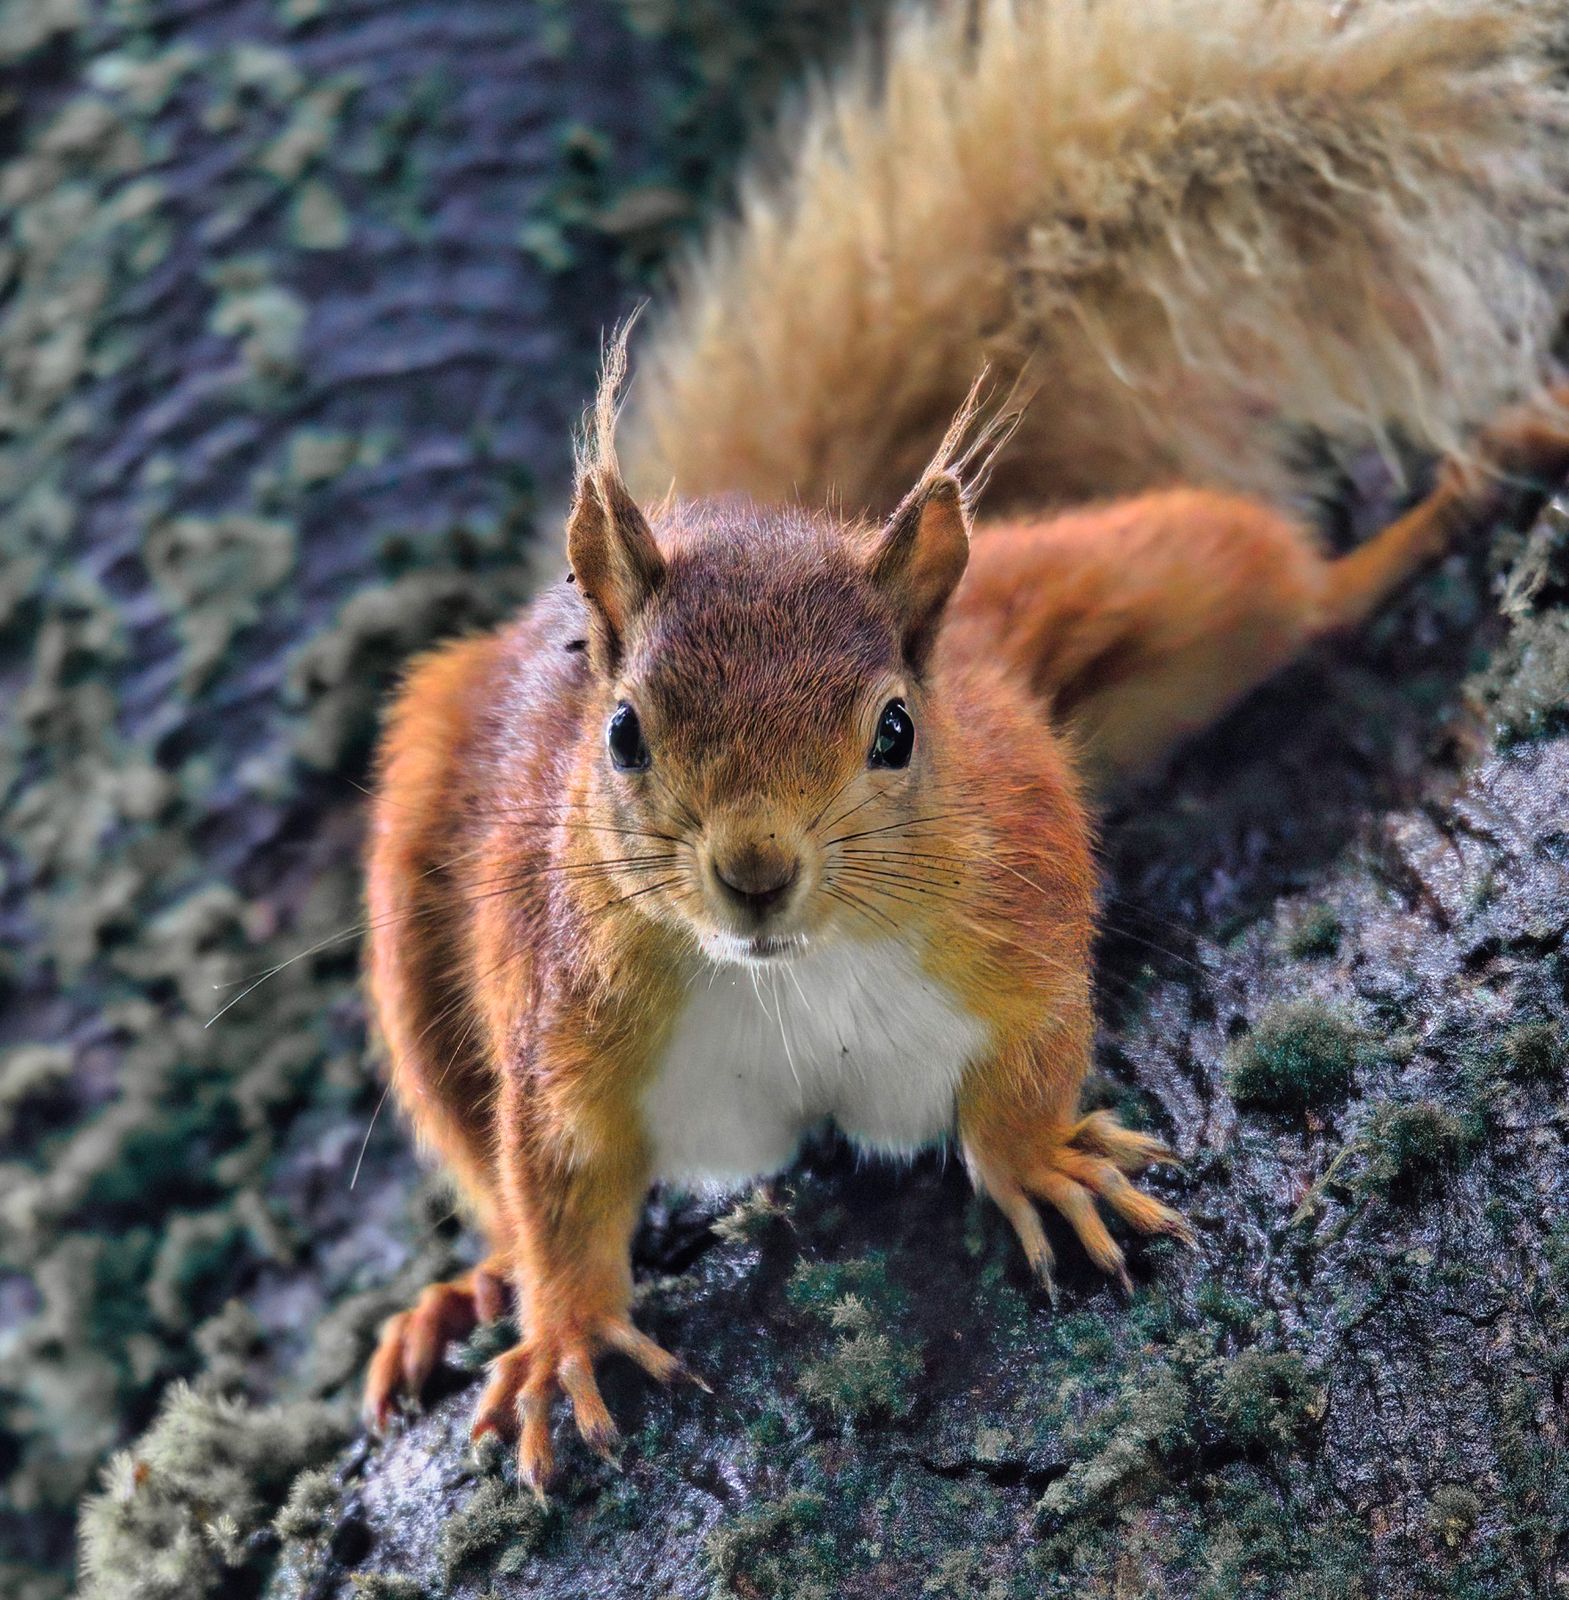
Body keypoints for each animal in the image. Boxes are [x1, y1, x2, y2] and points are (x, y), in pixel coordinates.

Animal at [360, 0, 1569, 1495]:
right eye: (625, 731)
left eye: (894, 729)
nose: (755, 873)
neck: (791, 975)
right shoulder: (564, 1008)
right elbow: (554, 1180)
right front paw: (564, 1328)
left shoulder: (1018, 890)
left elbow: (1038, 1048)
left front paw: (1043, 1161)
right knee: (474, 1149)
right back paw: (462, 1292)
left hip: (1149, 579)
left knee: (1298, 594)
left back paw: (1467, 482)